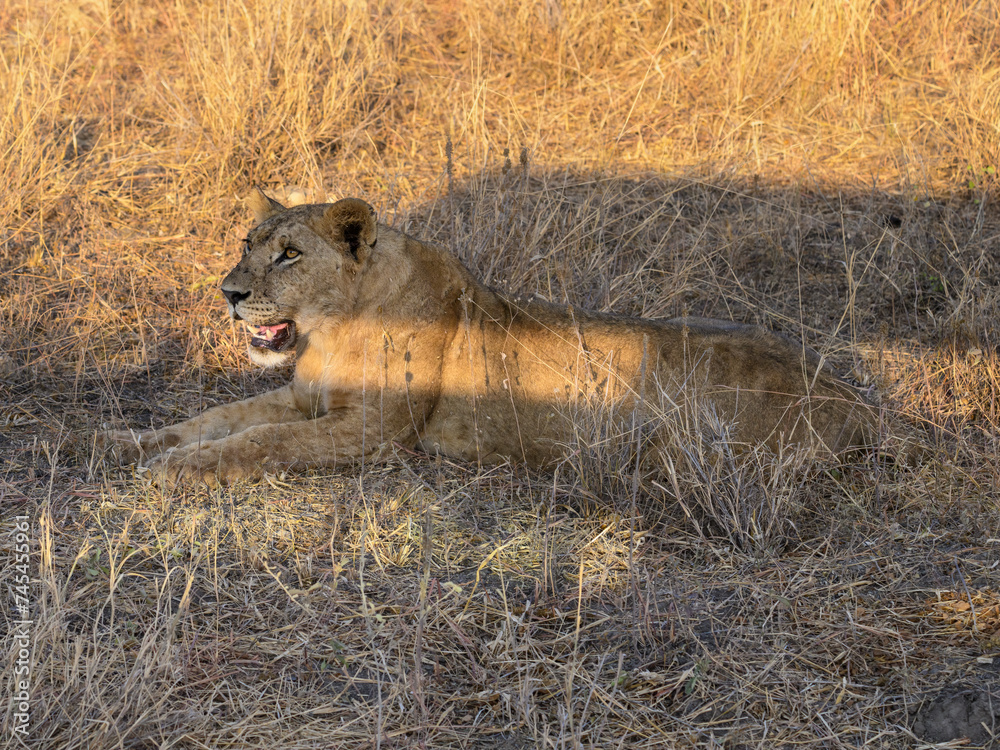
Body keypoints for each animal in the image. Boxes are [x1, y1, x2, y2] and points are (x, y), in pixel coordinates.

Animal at [103, 189, 878, 485]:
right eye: (247, 243)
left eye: (289, 254)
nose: (228, 293)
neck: (333, 328)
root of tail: (857, 398)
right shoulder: (302, 401)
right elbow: (215, 417)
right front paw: (127, 444)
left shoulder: (372, 432)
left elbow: (257, 442)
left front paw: (172, 470)